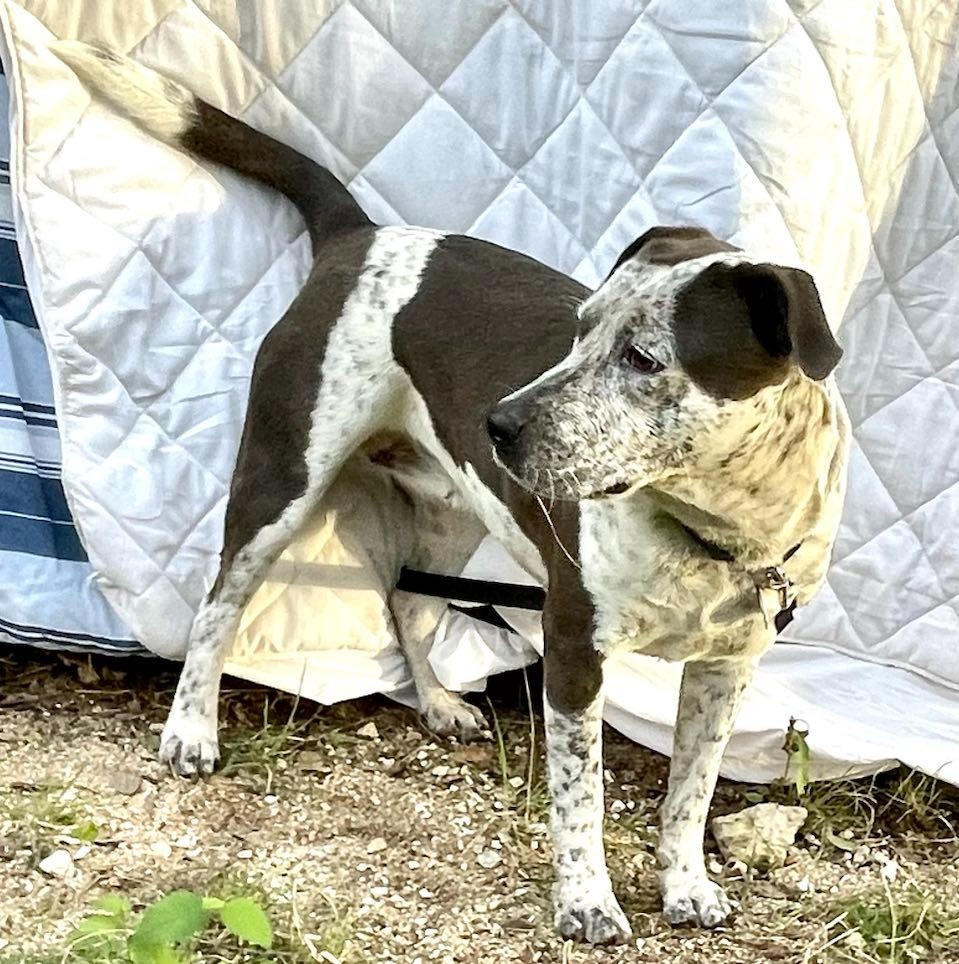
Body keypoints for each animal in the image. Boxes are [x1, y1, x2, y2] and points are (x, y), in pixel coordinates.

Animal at [54, 41, 848, 944]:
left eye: (643, 357)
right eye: (579, 329)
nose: (497, 423)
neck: (713, 530)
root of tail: (359, 235)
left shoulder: (725, 668)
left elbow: (689, 794)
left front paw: (684, 886)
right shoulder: (572, 648)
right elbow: (581, 797)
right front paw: (586, 902)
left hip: (450, 512)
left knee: (404, 596)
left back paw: (436, 701)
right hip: (282, 475)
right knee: (220, 600)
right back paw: (190, 729)